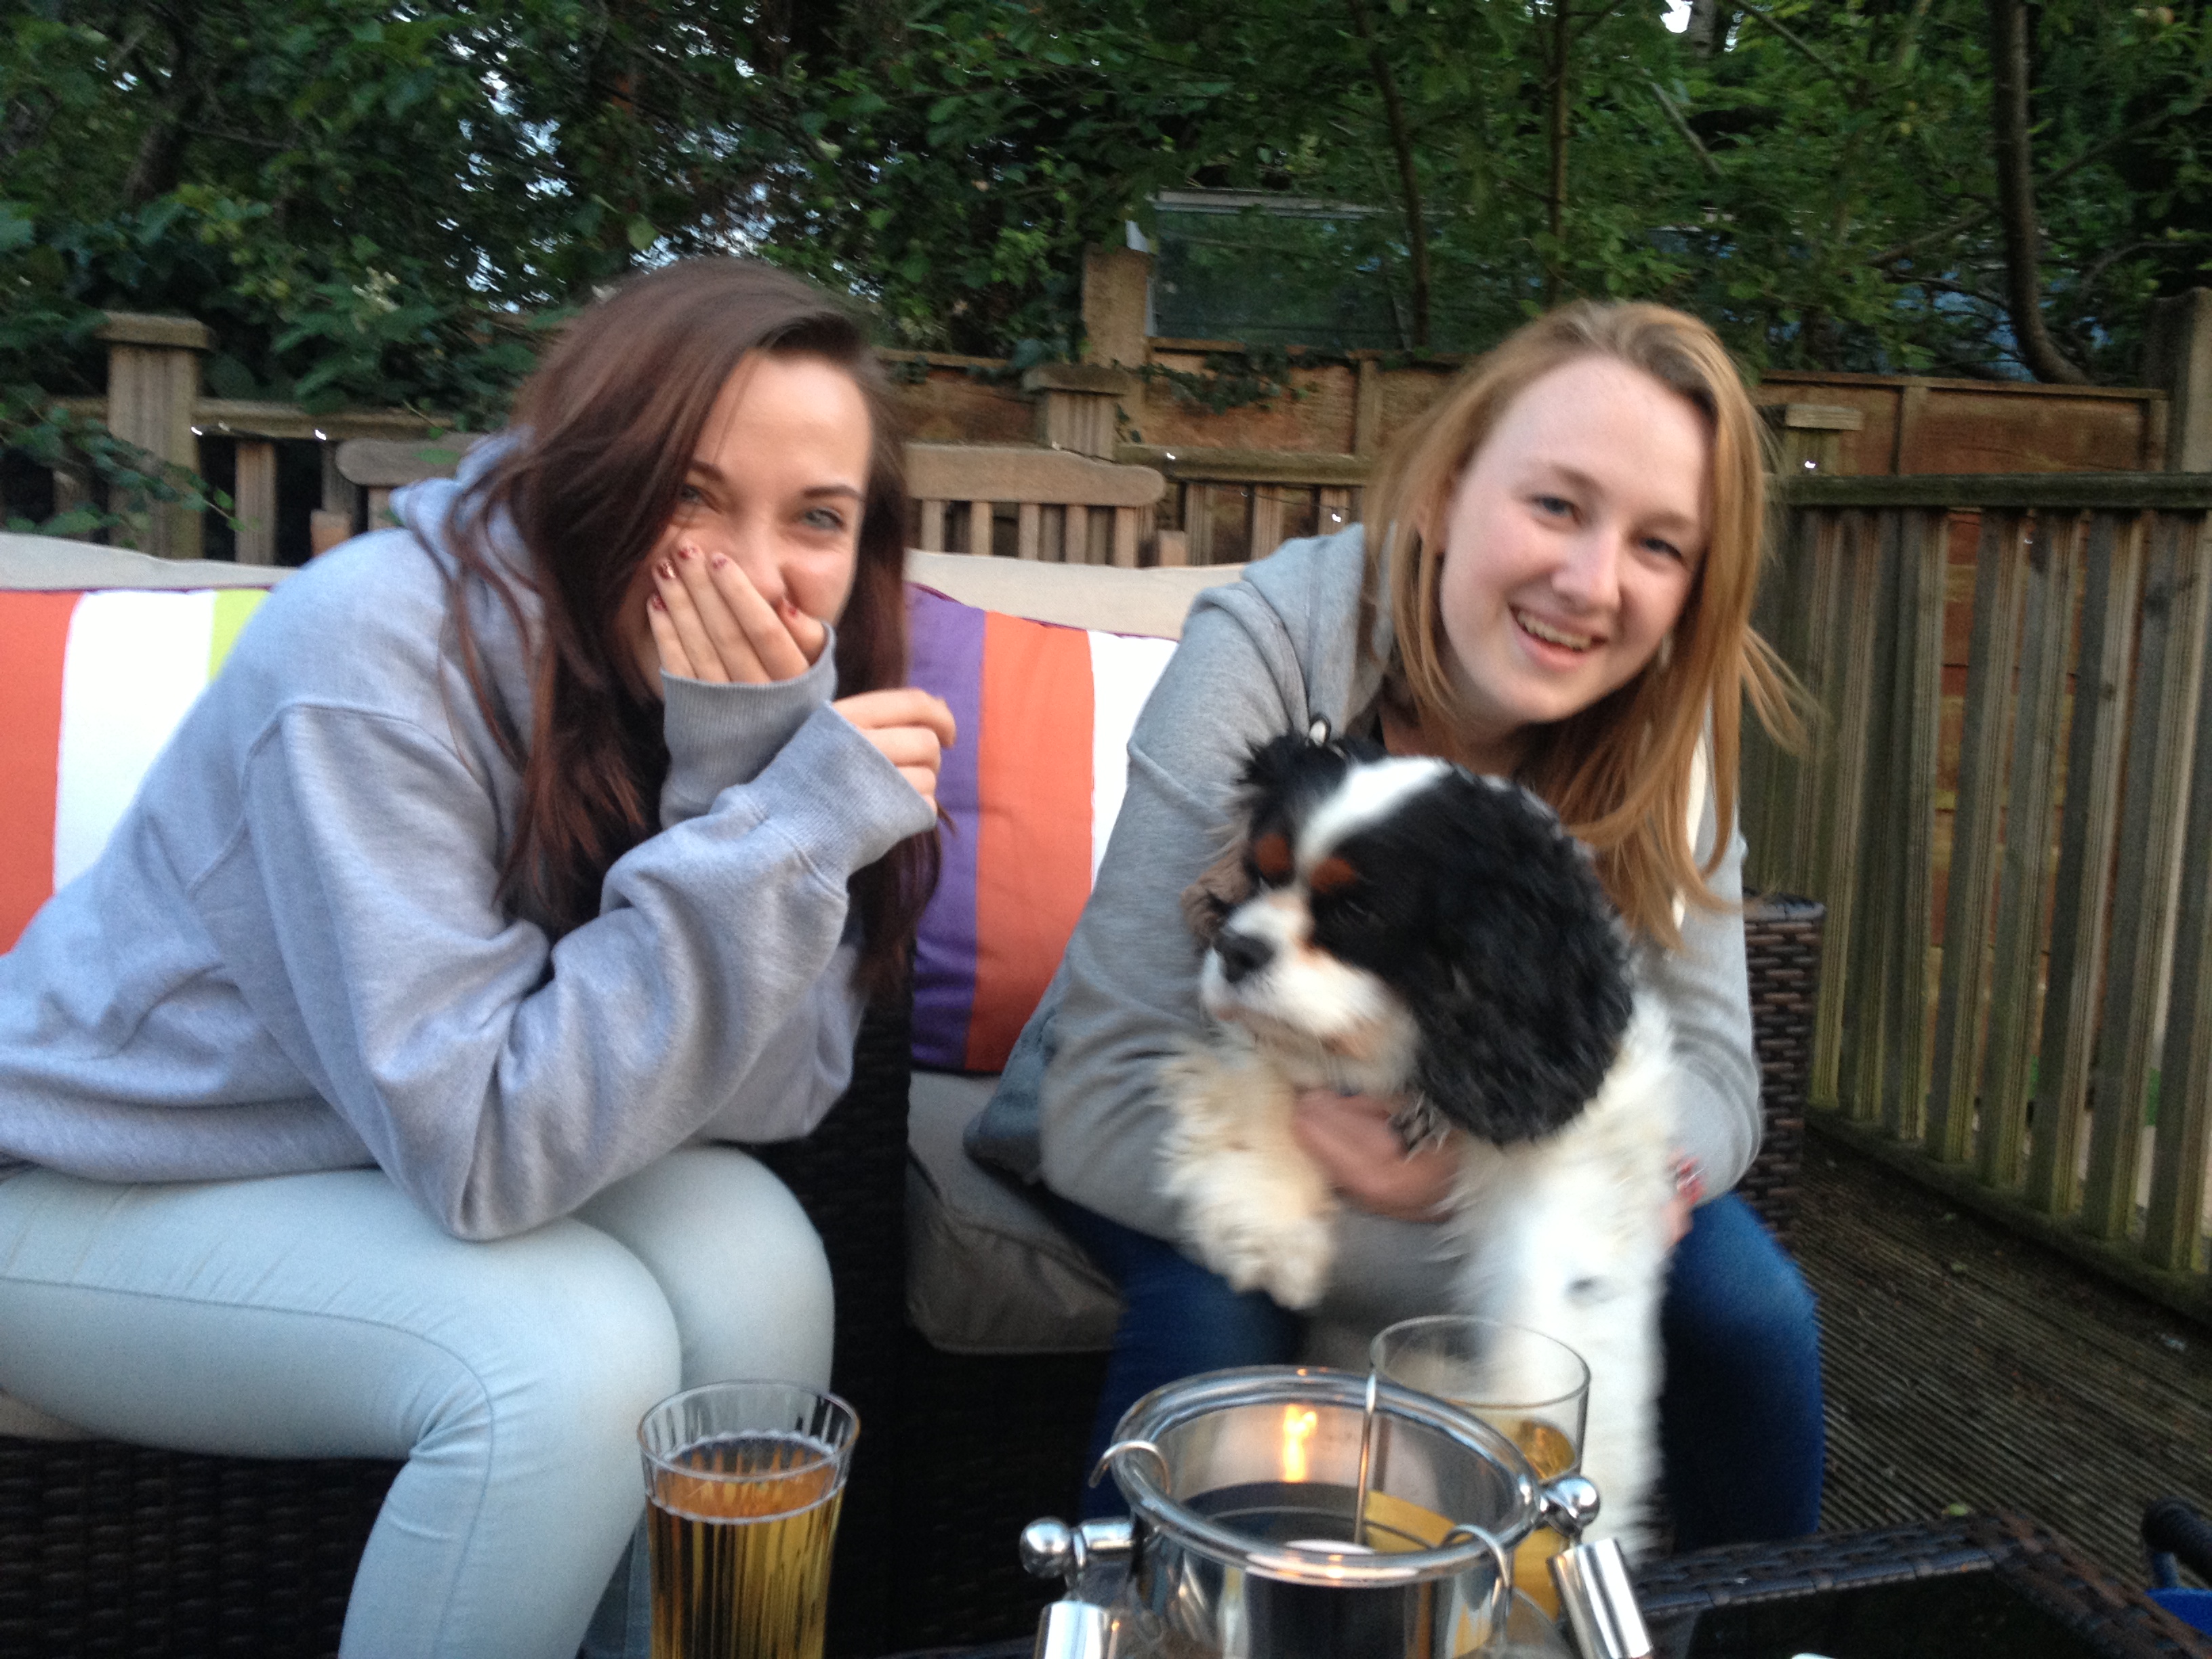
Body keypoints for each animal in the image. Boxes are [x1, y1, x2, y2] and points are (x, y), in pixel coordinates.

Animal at [1158, 720, 1682, 1551]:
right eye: (1258, 874)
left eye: (1359, 912)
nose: (1237, 949)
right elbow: (1262, 1076)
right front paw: (1266, 1220)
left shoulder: (1573, 1146)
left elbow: (1550, 1290)